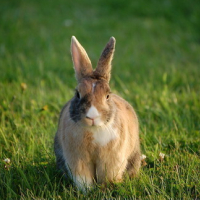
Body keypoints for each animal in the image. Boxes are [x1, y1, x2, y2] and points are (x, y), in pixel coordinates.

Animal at [54, 36, 141, 191]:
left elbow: (107, 174)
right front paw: (87, 191)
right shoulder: (78, 159)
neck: (94, 130)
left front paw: (106, 188)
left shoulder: (111, 158)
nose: (92, 116)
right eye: (78, 94)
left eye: (107, 95)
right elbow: (83, 178)